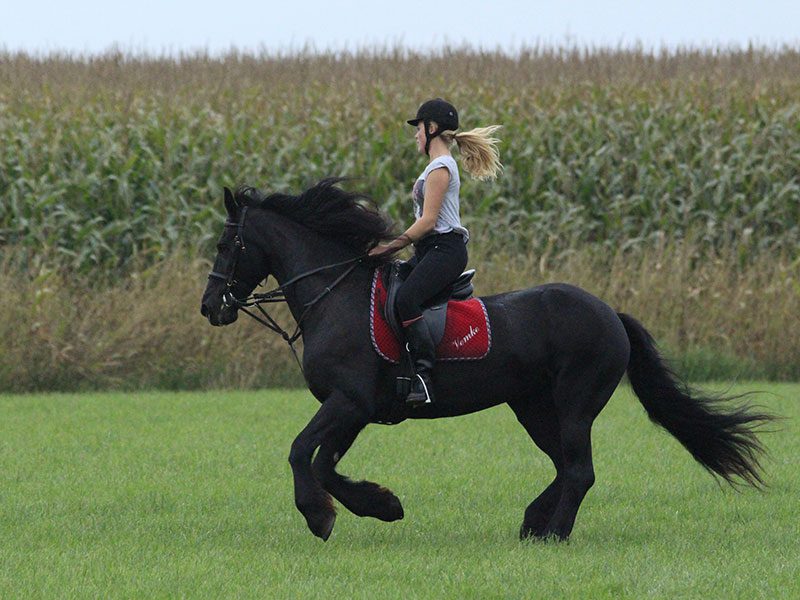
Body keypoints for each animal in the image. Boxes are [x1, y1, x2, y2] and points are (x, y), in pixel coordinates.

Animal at [200, 179, 768, 544]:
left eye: (228, 244)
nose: (210, 308)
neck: (333, 296)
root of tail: (609, 312)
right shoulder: (355, 409)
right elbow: (324, 462)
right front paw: (380, 505)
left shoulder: (349, 401)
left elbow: (302, 453)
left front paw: (324, 517)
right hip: (533, 407)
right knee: (564, 466)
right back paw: (534, 524)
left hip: (576, 402)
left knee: (579, 470)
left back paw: (554, 534)